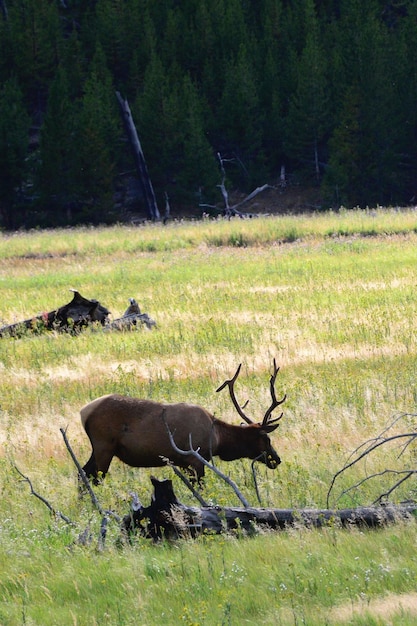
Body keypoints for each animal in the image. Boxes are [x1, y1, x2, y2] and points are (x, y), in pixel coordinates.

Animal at [79, 356, 284, 482]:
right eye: (266, 439)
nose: (277, 459)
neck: (217, 438)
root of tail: (83, 412)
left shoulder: (184, 463)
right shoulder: (196, 459)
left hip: (99, 448)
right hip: (104, 446)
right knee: (91, 477)